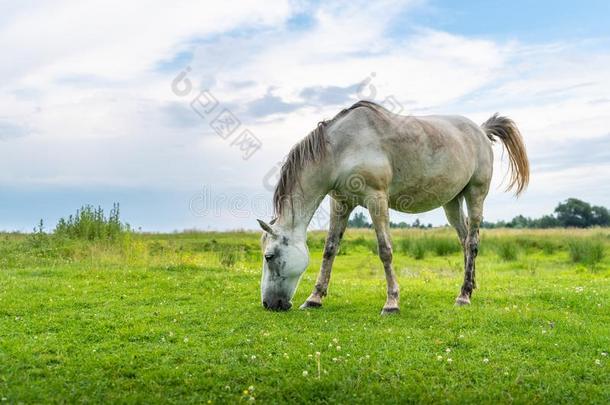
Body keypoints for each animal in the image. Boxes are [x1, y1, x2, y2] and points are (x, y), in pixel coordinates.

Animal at [254, 100, 524, 312]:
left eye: (269, 256)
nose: (269, 304)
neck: (342, 148)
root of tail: (480, 131)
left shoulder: (376, 199)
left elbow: (385, 250)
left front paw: (392, 302)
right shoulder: (340, 203)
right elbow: (330, 249)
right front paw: (314, 298)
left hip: (475, 194)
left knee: (472, 242)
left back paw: (464, 296)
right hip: (452, 203)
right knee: (464, 240)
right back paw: (470, 287)